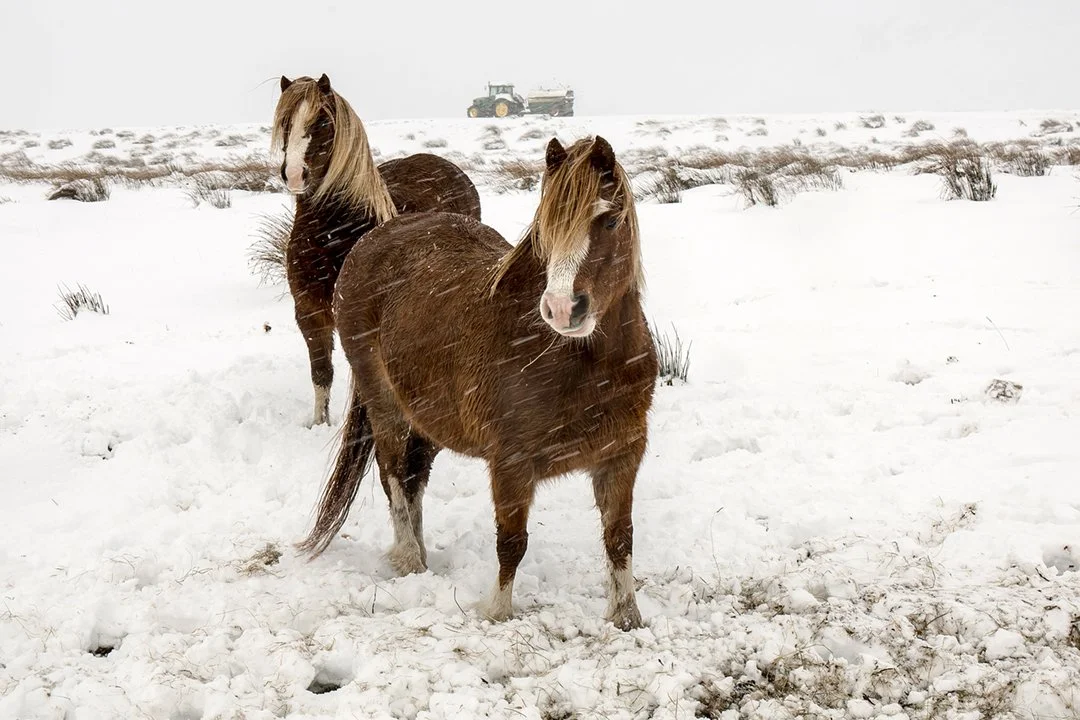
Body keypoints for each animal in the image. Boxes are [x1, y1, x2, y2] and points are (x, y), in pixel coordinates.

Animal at [272, 74, 482, 425]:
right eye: (285, 121)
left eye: (323, 121)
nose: (295, 175)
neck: (331, 231)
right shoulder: (309, 311)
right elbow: (321, 372)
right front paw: (319, 423)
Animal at [297, 136, 658, 630]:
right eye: (546, 226)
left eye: (610, 219)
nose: (562, 309)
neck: (584, 364)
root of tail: (372, 241)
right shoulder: (510, 464)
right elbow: (512, 541)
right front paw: (496, 612)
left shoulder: (622, 456)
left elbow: (620, 537)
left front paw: (627, 617)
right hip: (385, 406)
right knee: (393, 474)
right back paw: (409, 558)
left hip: (428, 419)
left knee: (414, 477)